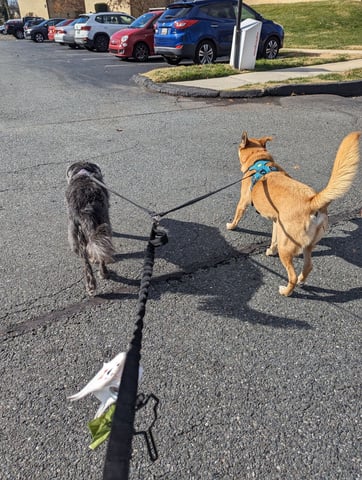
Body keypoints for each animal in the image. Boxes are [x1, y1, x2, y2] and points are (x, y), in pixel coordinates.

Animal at [226, 132, 360, 296]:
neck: (259, 162)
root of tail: (311, 201)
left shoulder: (243, 202)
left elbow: (237, 216)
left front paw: (231, 226)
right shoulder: (277, 223)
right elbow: (273, 239)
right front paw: (271, 250)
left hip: (286, 248)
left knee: (293, 276)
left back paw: (287, 291)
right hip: (306, 245)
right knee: (308, 266)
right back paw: (302, 280)